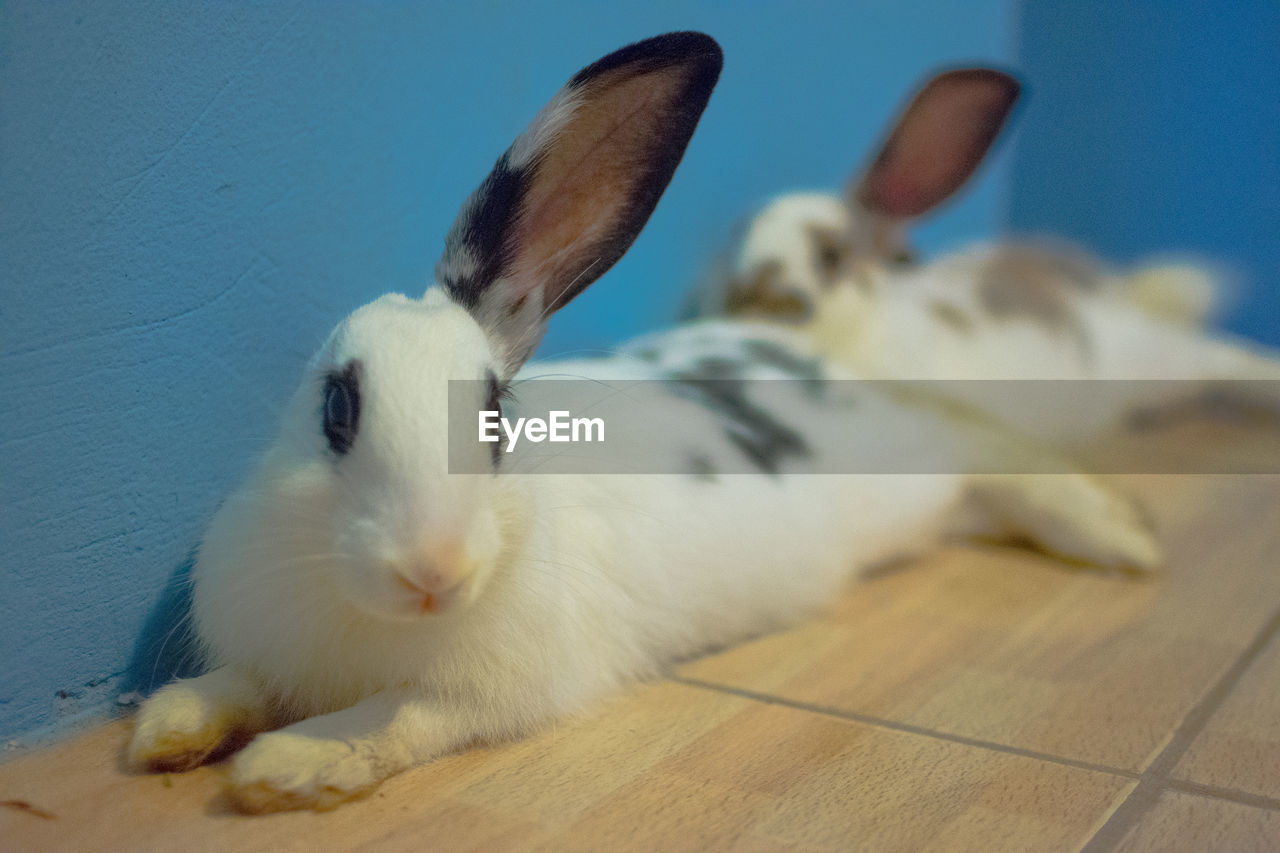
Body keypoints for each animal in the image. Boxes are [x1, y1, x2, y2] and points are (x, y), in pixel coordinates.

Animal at [127, 34, 1162, 809]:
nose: (434, 569)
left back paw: (1125, 541)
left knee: (1009, 460)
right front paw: (166, 730)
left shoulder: (494, 690)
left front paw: (290, 765)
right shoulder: (269, 648)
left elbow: (399, 719)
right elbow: (240, 686)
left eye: (496, 420)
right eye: (336, 407)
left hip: (935, 454)